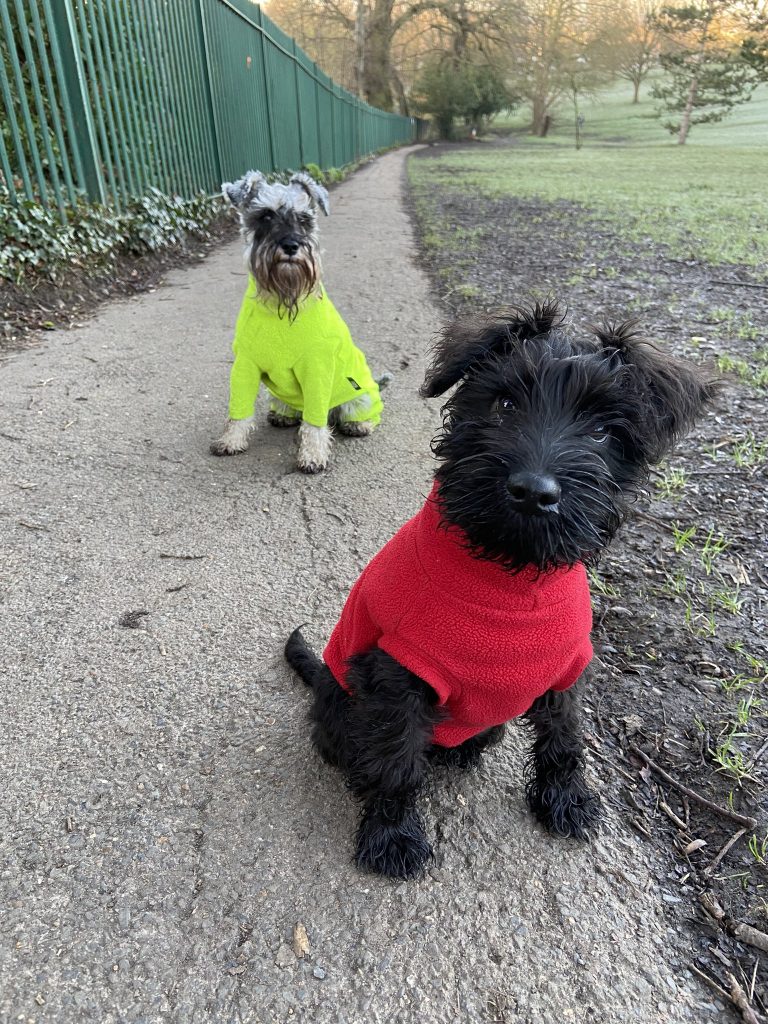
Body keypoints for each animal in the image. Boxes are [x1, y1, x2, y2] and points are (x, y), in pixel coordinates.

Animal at [286, 303, 720, 880]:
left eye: (602, 430)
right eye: (505, 402)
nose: (533, 491)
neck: (508, 582)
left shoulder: (565, 671)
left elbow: (564, 740)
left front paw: (567, 801)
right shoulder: (398, 677)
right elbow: (397, 762)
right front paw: (391, 836)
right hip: (341, 707)